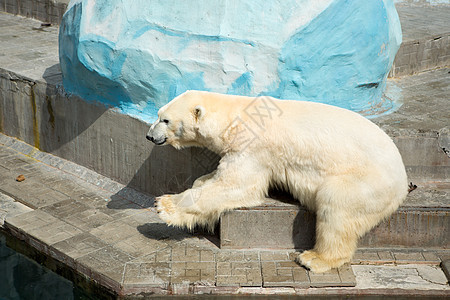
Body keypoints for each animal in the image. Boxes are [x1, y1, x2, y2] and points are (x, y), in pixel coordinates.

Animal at [147, 90, 408, 274]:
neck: (235, 117)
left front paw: (164, 205)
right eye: (158, 114)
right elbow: (213, 180)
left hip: (365, 181)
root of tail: (403, 181)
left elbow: (237, 185)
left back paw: (313, 258)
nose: (150, 135)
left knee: (336, 205)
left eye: (165, 120)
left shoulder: (254, 147)